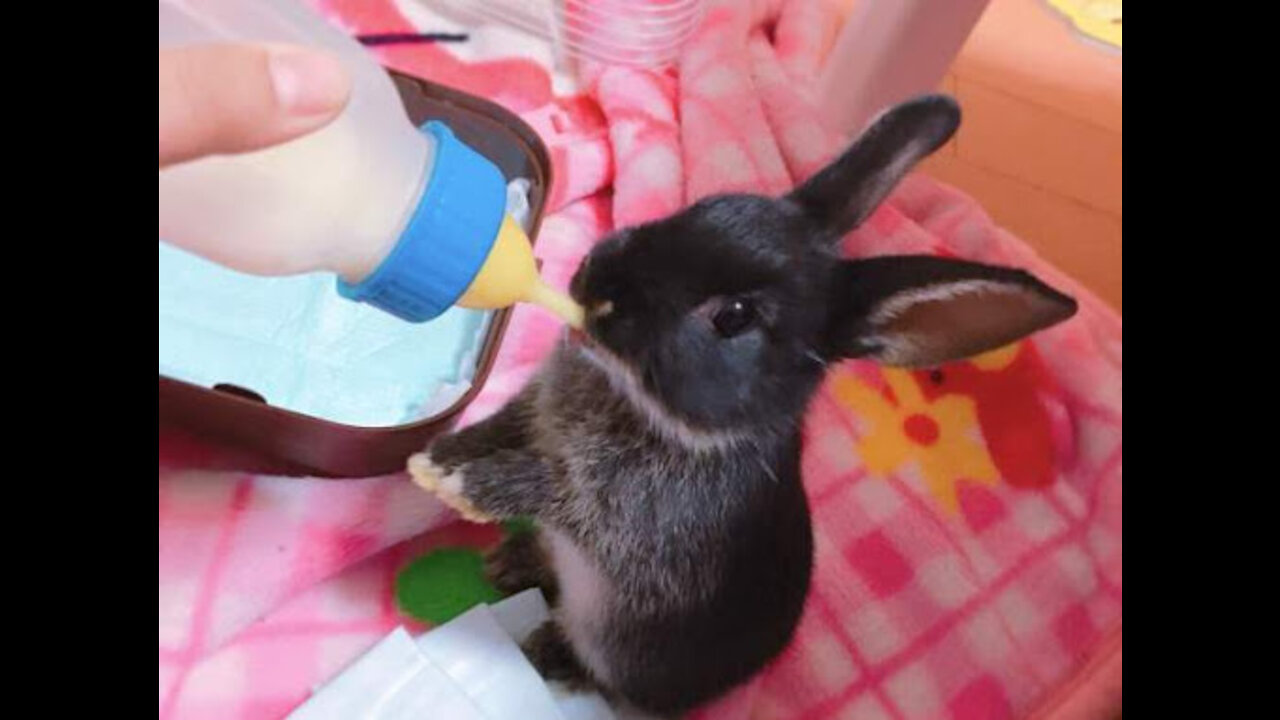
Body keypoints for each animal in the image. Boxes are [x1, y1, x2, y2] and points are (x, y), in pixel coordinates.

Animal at [412, 94, 1080, 712]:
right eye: (703, 207)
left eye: (733, 317)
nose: (594, 285)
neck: (642, 403)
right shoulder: (536, 407)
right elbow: (503, 424)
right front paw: (436, 459)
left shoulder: (631, 514)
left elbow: (558, 490)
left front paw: (462, 486)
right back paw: (510, 560)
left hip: (617, 652)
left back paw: (547, 648)